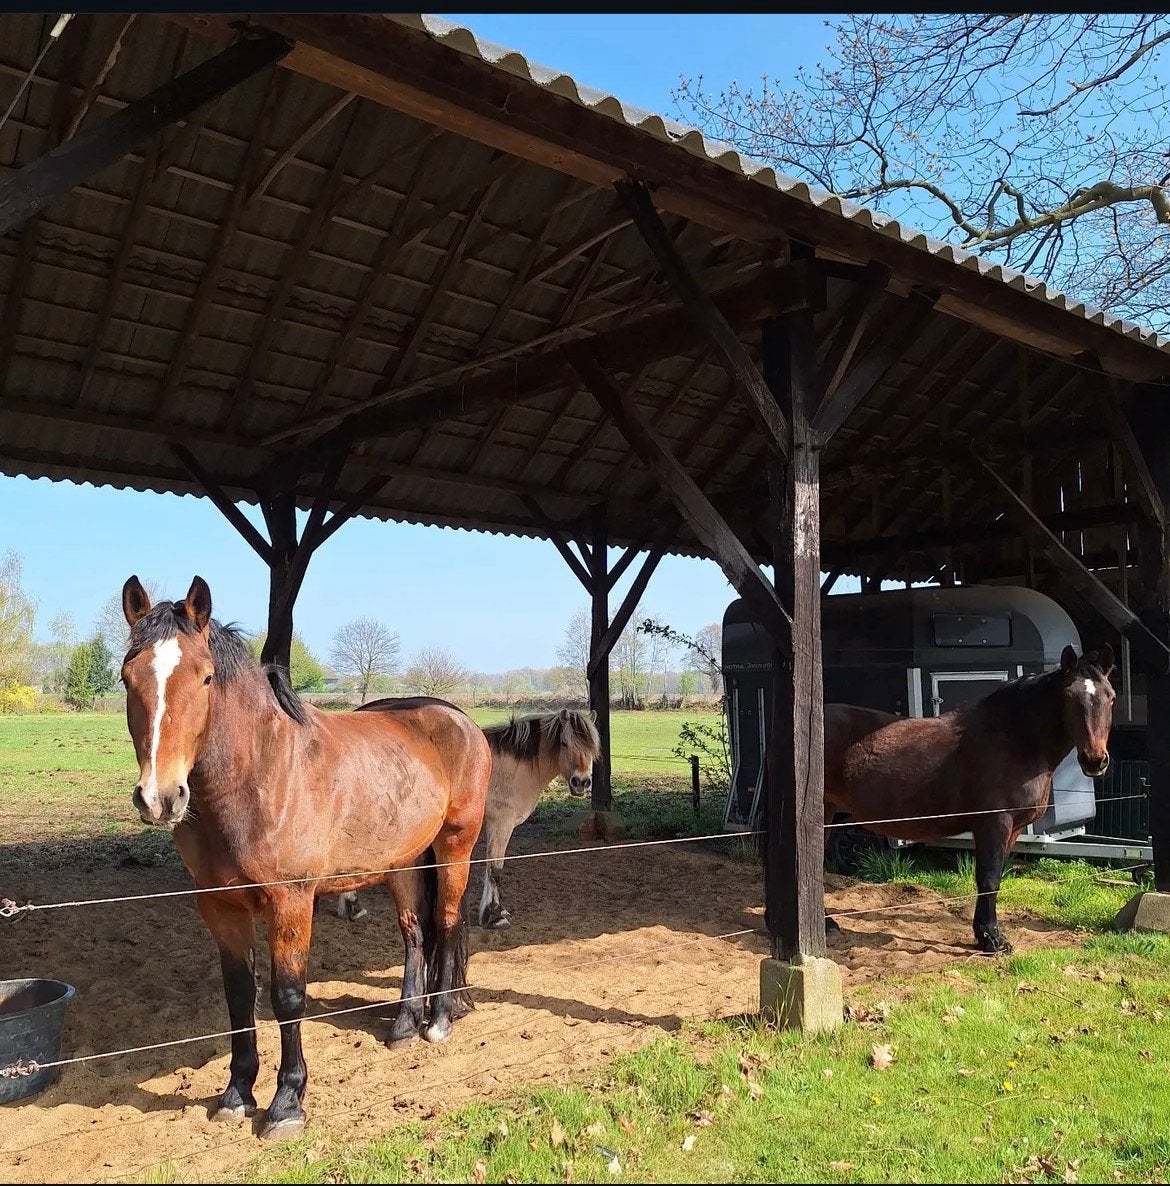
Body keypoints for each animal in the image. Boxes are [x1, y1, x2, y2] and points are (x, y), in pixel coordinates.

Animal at [118, 576, 491, 1140]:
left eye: (205, 678)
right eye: (126, 676)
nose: (160, 797)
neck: (262, 775)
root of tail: (458, 716)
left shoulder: (291, 903)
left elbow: (288, 997)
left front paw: (286, 1103)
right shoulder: (219, 907)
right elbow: (238, 996)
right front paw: (235, 1094)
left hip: (454, 848)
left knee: (447, 925)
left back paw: (441, 1021)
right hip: (403, 863)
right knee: (414, 933)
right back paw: (405, 1023)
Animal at [336, 709, 601, 930]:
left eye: (592, 748)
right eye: (565, 743)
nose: (581, 782)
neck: (514, 767)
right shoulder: (501, 823)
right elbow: (495, 868)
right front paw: (495, 916)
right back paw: (353, 907)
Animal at [821, 644, 1115, 953]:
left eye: (1111, 698)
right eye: (1069, 698)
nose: (1095, 760)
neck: (1014, 740)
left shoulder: (1013, 828)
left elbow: (994, 877)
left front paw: (986, 934)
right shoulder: (994, 823)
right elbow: (988, 878)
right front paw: (991, 939)